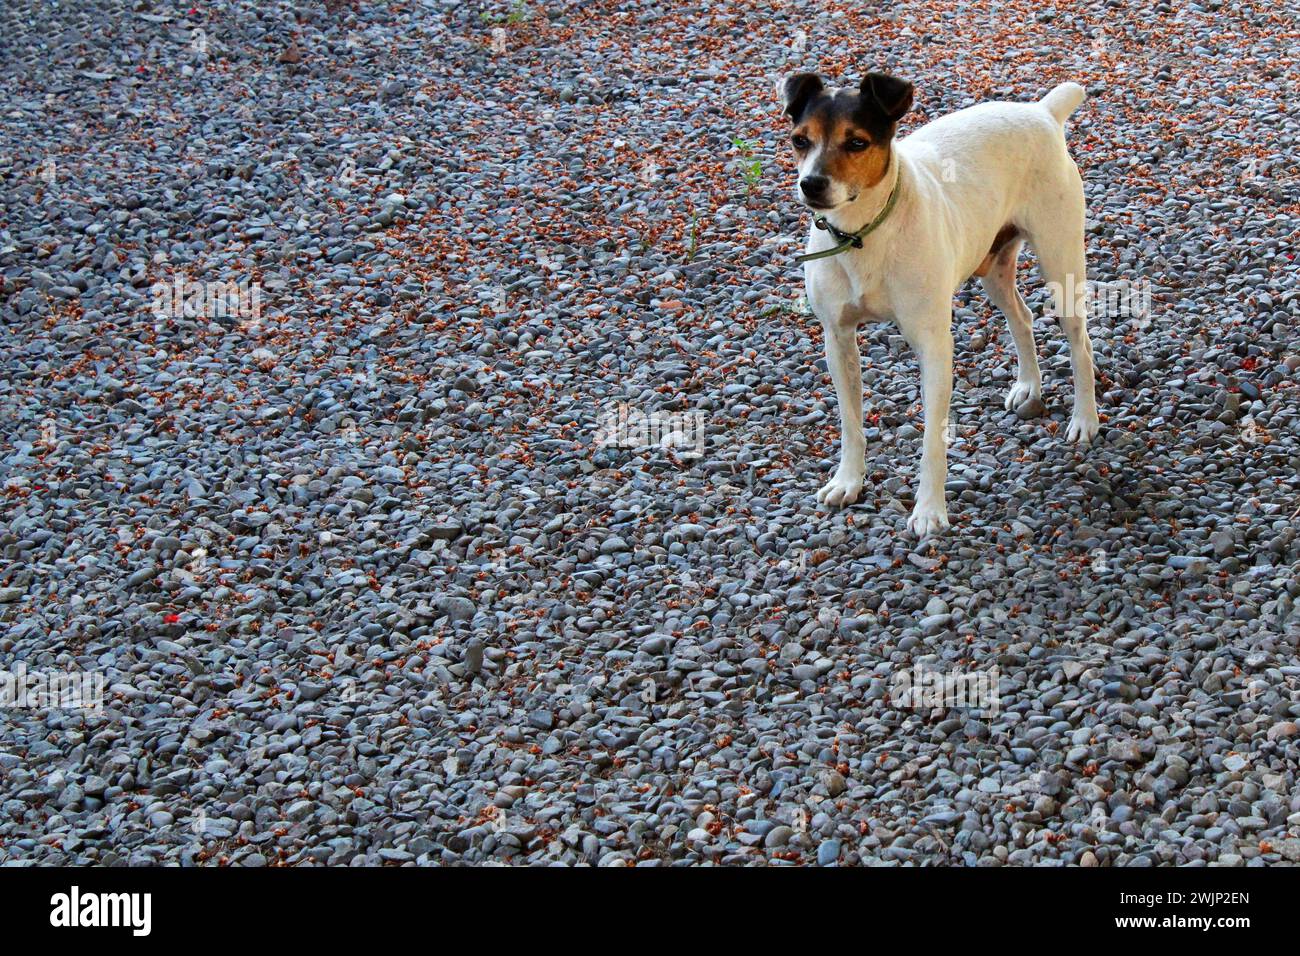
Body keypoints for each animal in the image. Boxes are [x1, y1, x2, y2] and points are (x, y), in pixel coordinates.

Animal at [780, 72, 1097, 538]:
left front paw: (929, 511)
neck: (863, 235)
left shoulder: (933, 346)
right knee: (1021, 317)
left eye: (856, 142)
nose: (812, 184)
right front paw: (848, 481)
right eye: (800, 140)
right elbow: (850, 423)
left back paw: (1085, 420)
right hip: (993, 268)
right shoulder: (838, 340)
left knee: (1080, 344)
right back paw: (1029, 386)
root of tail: (1041, 111)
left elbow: (932, 438)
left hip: (1062, 266)